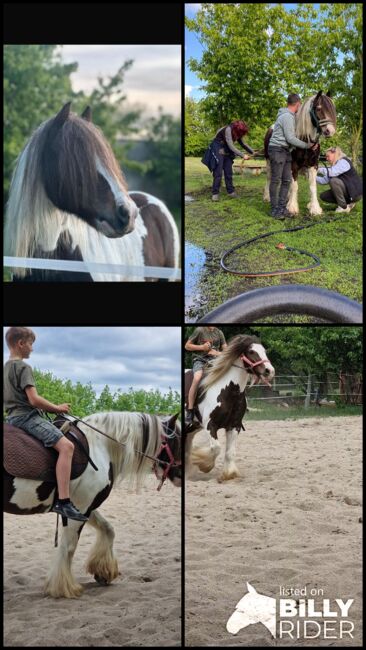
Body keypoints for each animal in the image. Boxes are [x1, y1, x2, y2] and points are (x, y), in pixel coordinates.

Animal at [186, 334, 274, 480]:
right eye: (251, 352)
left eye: (264, 351)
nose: (269, 371)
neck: (228, 391)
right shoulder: (210, 425)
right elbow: (216, 448)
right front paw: (203, 464)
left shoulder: (234, 426)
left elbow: (230, 452)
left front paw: (229, 474)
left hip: (193, 427)